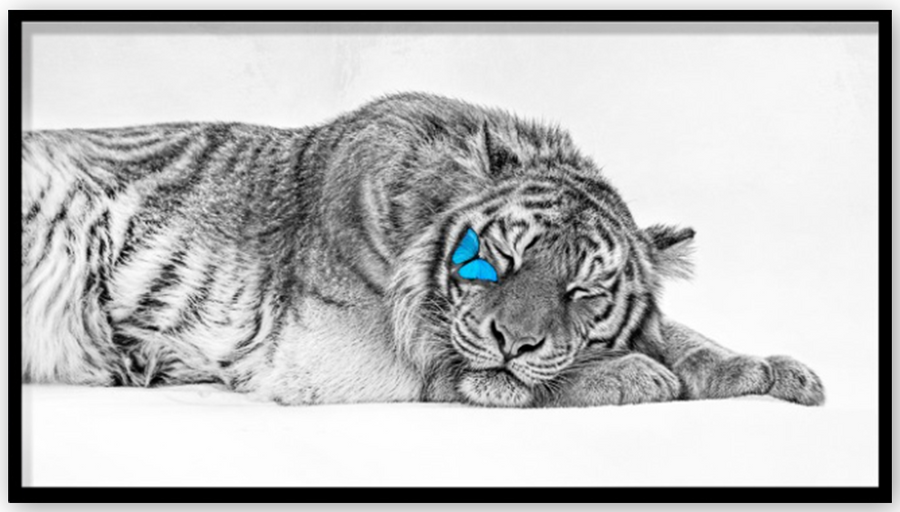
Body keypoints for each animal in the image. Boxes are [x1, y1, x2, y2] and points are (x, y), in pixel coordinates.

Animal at [21, 92, 825, 407]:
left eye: (582, 291)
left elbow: (684, 335)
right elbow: (488, 375)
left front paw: (772, 371)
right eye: (500, 260)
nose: (513, 340)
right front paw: (636, 376)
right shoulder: (342, 352)